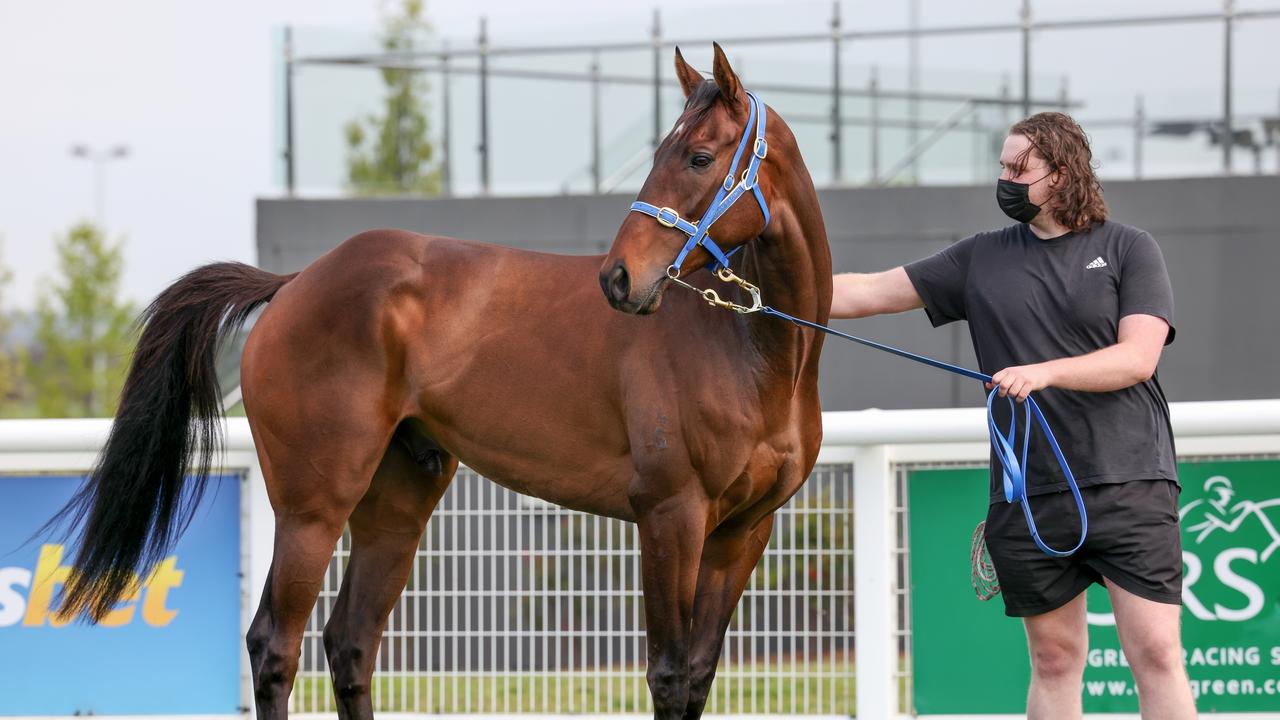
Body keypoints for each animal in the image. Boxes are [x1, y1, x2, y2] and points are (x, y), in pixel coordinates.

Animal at [55, 44, 829, 717]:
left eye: (699, 155)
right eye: (666, 152)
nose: (620, 279)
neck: (749, 348)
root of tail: (296, 281)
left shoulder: (741, 535)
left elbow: (697, 676)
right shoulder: (671, 515)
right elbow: (668, 678)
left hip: (396, 504)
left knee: (350, 643)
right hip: (312, 509)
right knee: (275, 646)